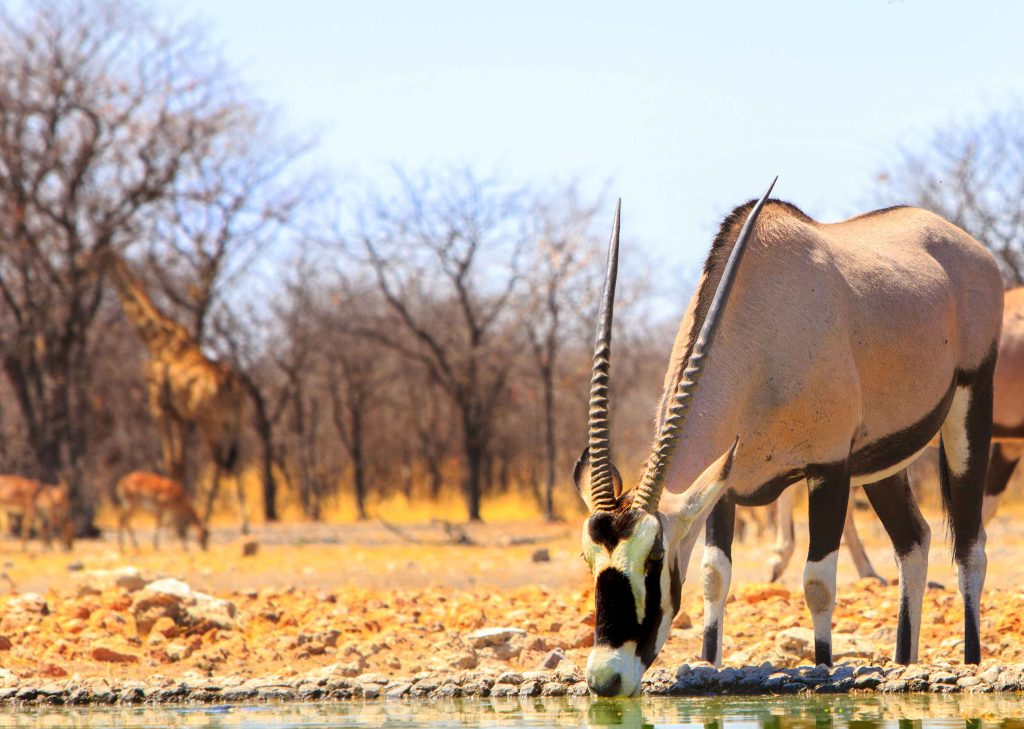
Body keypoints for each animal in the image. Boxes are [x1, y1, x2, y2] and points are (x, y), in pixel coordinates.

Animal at [103, 253, 249, 532]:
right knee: (234, 463)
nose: (83, 259)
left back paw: (206, 518)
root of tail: (229, 383)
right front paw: (176, 516)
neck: (158, 339)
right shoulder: (181, 416)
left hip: (210, 423)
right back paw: (243, 524)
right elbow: (180, 461)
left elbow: (171, 460)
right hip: (235, 424)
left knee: (217, 462)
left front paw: (173, 521)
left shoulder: (160, 408)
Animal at [577, 181, 999, 696]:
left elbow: (817, 582)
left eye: (654, 556)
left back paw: (972, 661)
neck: (760, 334)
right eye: (588, 557)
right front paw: (710, 664)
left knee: (970, 549)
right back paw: (903, 663)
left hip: (970, 404)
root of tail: (971, 248)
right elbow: (714, 575)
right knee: (913, 542)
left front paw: (823, 670)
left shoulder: (829, 468)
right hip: (882, 461)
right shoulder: (724, 483)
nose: (606, 677)